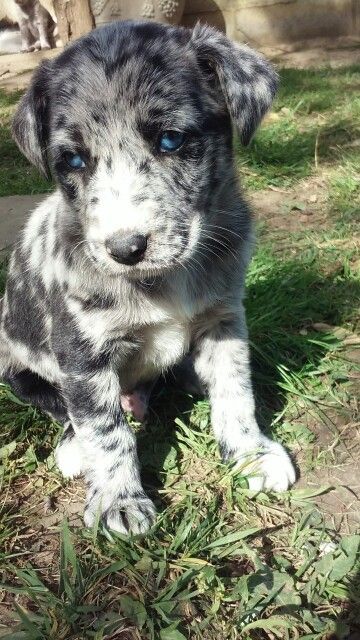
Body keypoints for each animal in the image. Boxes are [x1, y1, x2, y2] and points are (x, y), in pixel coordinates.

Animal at [0, 21, 296, 536]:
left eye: (171, 140)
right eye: (73, 160)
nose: (125, 250)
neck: (163, 280)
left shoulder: (224, 320)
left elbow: (235, 391)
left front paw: (251, 455)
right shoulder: (82, 353)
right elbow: (105, 429)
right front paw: (117, 500)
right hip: (19, 373)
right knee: (65, 411)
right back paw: (75, 447)